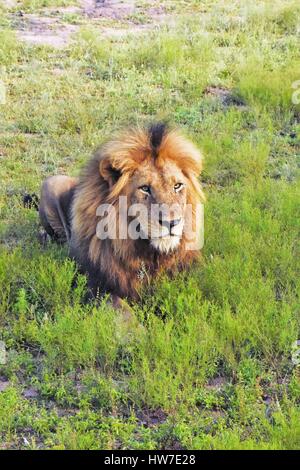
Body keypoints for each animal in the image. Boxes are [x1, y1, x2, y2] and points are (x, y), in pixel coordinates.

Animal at [38, 123, 205, 310]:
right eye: (145, 188)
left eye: (177, 186)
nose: (172, 223)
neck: (146, 254)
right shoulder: (95, 284)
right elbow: (121, 307)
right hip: (51, 183)